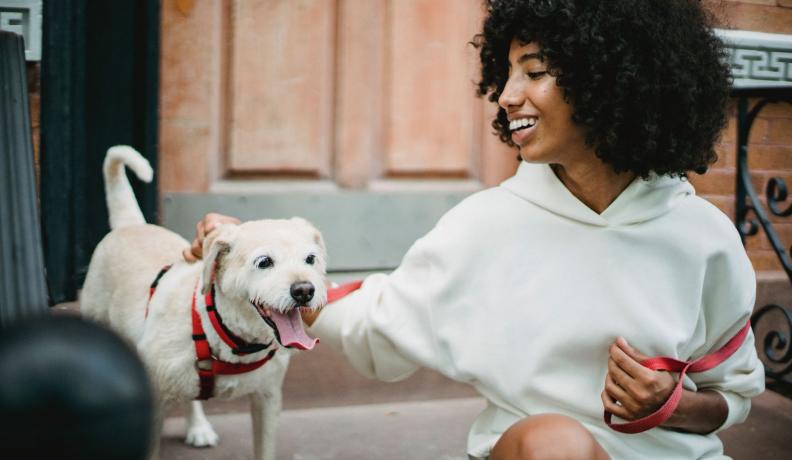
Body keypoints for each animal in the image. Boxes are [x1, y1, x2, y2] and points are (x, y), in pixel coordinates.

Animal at [81, 146, 328, 460]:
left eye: (310, 259)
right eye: (264, 262)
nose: (304, 290)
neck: (230, 339)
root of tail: (131, 225)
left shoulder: (267, 400)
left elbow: (264, 448)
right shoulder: (154, 403)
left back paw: (198, 427)